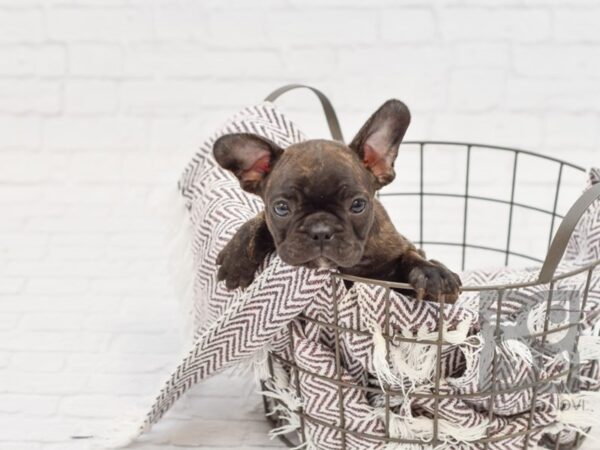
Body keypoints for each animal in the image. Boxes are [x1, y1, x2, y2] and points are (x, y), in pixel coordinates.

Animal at [211, 100, 460, 304]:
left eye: (358, 205)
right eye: (281, 208)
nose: (321, 231)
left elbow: (412, 256)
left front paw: (433, 273)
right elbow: (258, 220)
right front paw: (237, 256)